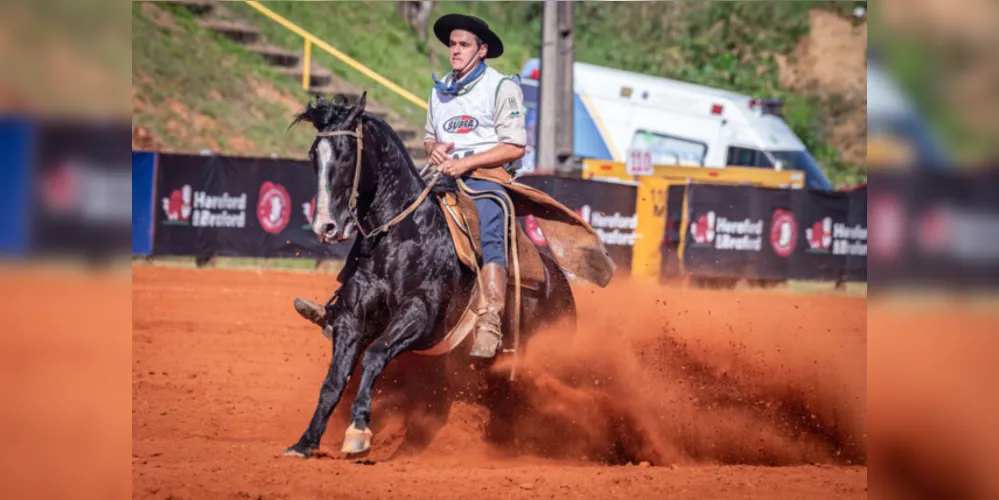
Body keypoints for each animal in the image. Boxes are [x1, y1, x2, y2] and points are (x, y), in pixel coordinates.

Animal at [282, 93, 580, 458]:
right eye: (314, 154)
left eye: (347, 154)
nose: (325, 226)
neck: (404, 235)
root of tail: (561, 285)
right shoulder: (353, 316)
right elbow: (335, 379)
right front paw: (306, 442)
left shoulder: (420, 314)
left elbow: (375, 356)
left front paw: (359, 430)